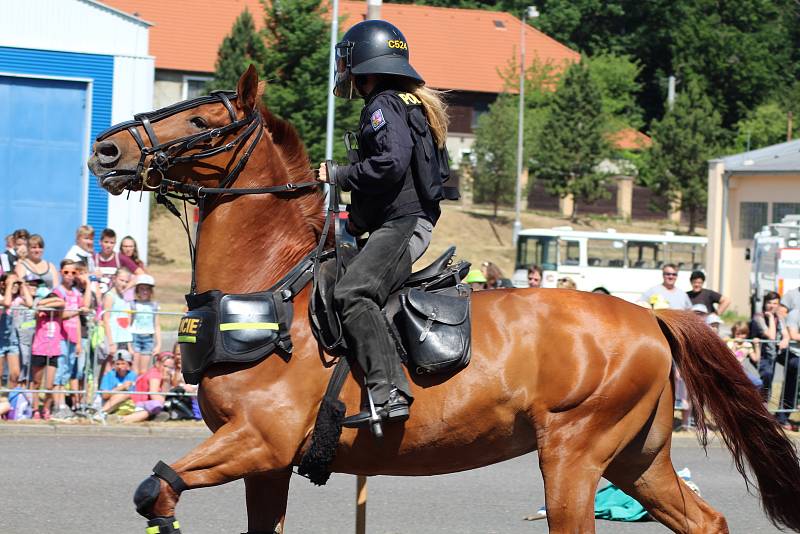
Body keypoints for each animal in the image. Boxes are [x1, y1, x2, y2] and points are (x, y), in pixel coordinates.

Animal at [87, 68, 800, 534]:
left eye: (203, 121)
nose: (105, 148)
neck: (271, 286)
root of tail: (648, 315)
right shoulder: (266, 467)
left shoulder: (260, 442)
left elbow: (156, 490)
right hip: (636, 460)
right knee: (706, 521)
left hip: (573, 458)